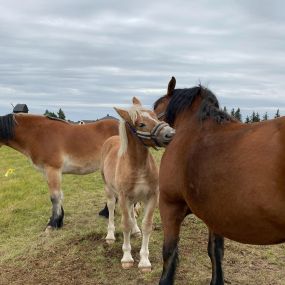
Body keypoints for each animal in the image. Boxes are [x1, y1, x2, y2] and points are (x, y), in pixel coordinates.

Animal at [101, 97, 174, 270]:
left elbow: (147, 225)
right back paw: (110, 236)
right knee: (112, 209)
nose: (170, 134)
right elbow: (125, 224)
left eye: (155, 116)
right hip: (110, 190)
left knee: (131, 212)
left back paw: (136, 230)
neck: (138, 165)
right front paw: (127, 258)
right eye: (140, 124)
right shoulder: (123, 196)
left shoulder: (152, 196)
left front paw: (144, 260)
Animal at [154, 76, 285, 284]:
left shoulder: (169, 205)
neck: (192, 131)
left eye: (156, 108)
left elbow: (169, 253)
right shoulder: (215, 214)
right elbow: (216, 252)